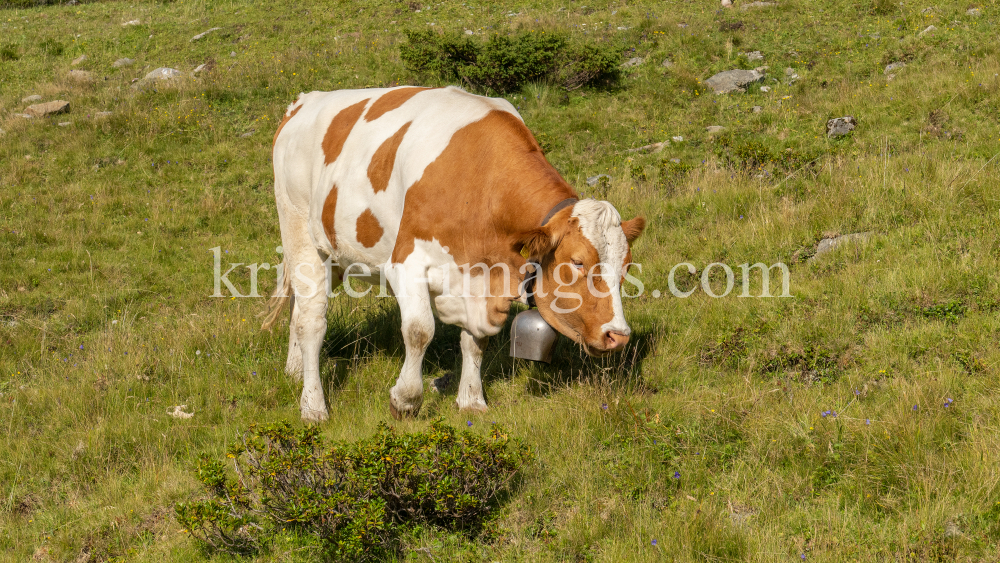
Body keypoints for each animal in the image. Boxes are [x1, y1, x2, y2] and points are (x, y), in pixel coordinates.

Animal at [262, 86, 644, 420]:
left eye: (626, 267)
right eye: (577, 262)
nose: (619, 335)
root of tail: (303, 102)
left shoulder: (484, 280)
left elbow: (476, 341)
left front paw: (472, 400)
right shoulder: (406, 263)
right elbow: (419, 331)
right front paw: (405, 401)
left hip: (335, 253)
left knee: (299, 308)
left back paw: (294, 370)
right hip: (298, 230)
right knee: (313, 321)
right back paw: (313, 406)